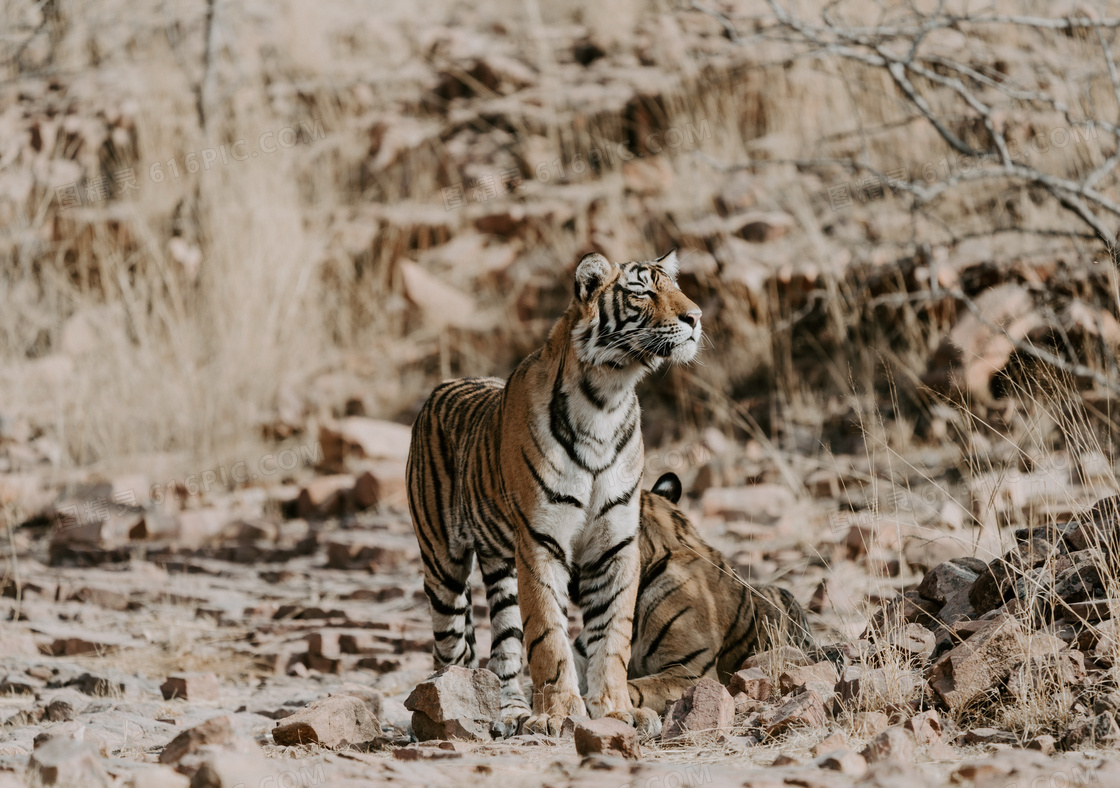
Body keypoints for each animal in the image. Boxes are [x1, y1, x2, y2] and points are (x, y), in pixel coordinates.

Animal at [403, 249, 698, 734]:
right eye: (641, 292)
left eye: (677, 288)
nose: (695, 316)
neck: (607, 399)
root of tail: (440, 388)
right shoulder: (541, 541)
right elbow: (549, 636)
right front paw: (560, 715)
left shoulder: (615, 543)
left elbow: (612, 636)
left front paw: (615, 709)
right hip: (443, 566)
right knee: (450, 648)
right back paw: (445, 714)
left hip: (501, 566)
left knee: (503, 646)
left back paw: (512, 713)